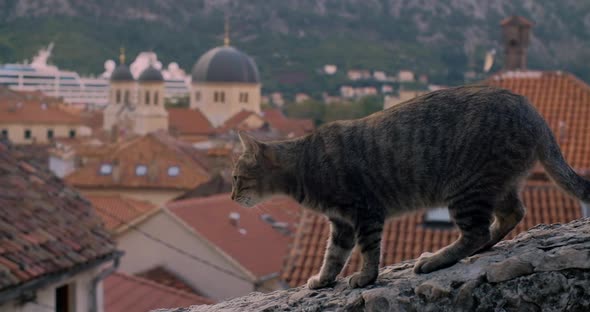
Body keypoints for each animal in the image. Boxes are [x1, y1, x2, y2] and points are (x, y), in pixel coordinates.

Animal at [231, 86, 590, 290]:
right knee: (509, 215)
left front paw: (366, 277)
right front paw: (323, 279)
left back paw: (438, 259)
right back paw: (483, 247)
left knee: (477, 230)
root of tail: (532, 112)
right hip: (494, 185)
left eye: (235, 177)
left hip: (465, 188)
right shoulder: (342, 223)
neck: (303, 164)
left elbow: (368, 250)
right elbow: (333, 255)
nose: (233, 196)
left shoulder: (365, 212)